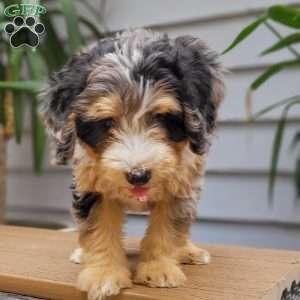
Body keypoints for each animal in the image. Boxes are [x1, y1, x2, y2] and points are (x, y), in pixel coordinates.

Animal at [41, 28, 225, 300]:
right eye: (106, 122)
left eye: (162, 117)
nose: (138, 175)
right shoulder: (91, 186)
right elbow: (98, 228)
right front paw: (103, 275)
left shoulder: (180, 183)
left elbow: (168, 228)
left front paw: (159, 269)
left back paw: (188, 251)